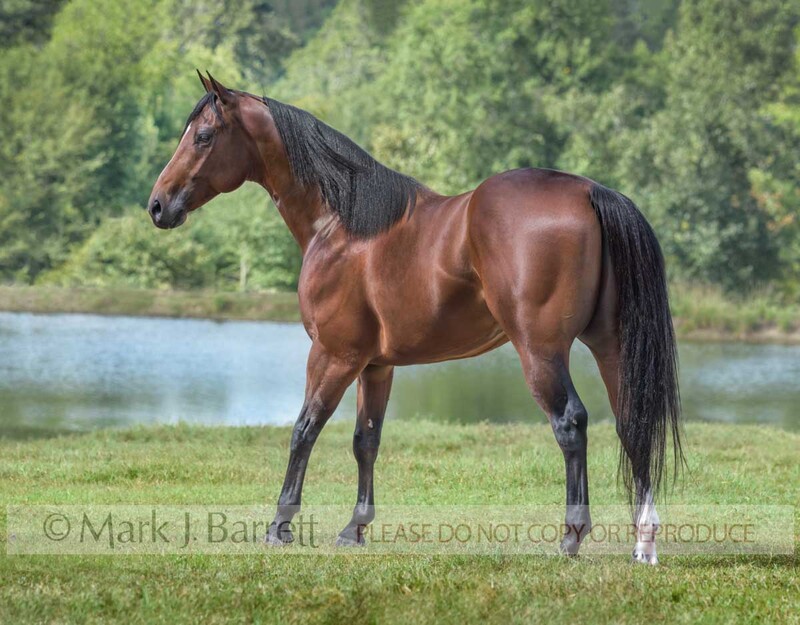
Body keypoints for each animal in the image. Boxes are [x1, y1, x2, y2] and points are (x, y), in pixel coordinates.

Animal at [147, 72, 683, 564]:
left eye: (203, 136)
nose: (157, 205)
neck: (342, 225)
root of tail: (590, 191)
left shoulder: (333, 355)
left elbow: (304, 430)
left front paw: (279, 526)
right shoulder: (375, 364)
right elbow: (366, 440)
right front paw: (355, 529)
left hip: (541, 350)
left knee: (570, 423)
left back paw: (571, 537)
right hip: (609, 344)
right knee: (631, 422)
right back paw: (643, 544)